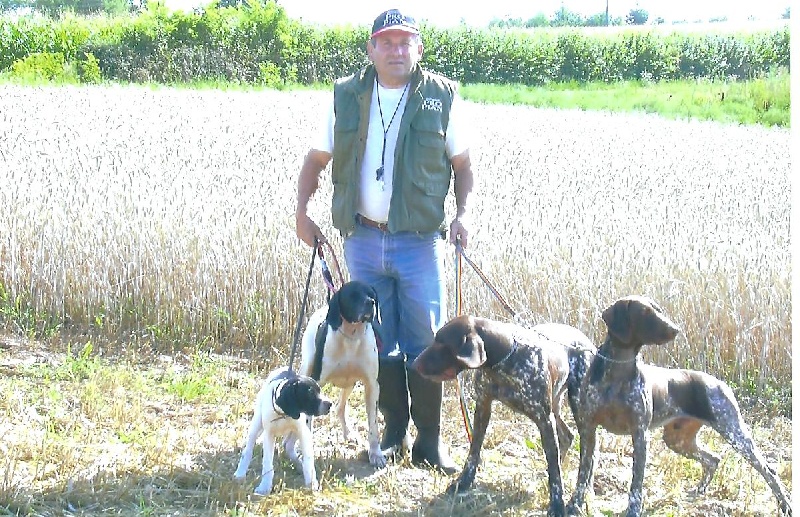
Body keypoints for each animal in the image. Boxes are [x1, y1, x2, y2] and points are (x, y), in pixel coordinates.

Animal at [233, 366, 332, 495]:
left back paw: (298, 464)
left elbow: (308, 461)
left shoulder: (303, 432)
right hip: (256, 425)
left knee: (289, 446)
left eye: (319, 390)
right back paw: (240, 473)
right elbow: (267, 463)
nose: (330, 404)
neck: (284, 414)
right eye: (310, 393)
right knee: (248, 450)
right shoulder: (269, 435)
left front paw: (312, 484)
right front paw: (264, 487)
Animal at [298, 280, 386, 468]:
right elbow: (308, 420)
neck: (352, 337)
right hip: (306, 366)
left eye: (372, 295)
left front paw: (376, 454)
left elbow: (374, 425)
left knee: (340, 408)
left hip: (350, 383)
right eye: (352, 295)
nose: (370, 303)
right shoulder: (315, 382)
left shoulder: (372, 385)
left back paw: (348, 434)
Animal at [412, 315, 596, 517]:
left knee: (588, 456)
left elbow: (555, 471)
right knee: (568, 438)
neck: (505, 361)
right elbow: (473, 453)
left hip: (579, 410)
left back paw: (578, 499)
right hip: (556, 407)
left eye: (442, 343)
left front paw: (557, 504)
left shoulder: (544, 420)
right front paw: (463, 482)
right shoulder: (483, 407)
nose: (414, 364)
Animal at [567, 295, 792, 517]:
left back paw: (786, 505)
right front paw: (574, 504)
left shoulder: (640, 434)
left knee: (768, 469)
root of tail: (719, 382)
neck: (617, 371)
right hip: (678, 440)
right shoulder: (588, 430)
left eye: (658, 309)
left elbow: (636, 483)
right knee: (713, 459)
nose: (675, 329)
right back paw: (698, 492)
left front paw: (633, 510)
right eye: (645, 312)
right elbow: (583, 475)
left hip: (734, 433)